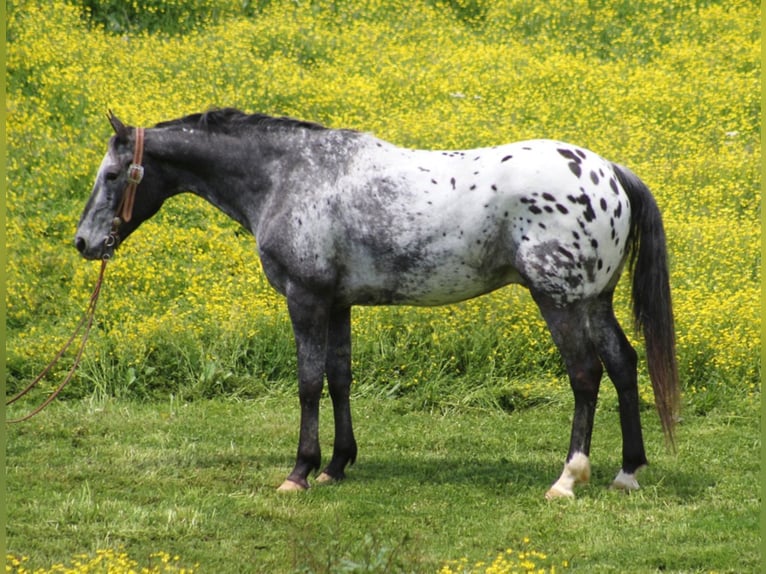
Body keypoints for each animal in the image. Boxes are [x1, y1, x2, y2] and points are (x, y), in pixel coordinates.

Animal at [75, 109, 680, 500]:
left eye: (112, 174)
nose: (83, 242)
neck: (289, 176)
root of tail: (609, 172)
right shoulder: (337, 304)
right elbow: (340, 378)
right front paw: (336, 465)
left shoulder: (306, 300)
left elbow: (308, 383)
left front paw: (299, 472)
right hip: (593, 300)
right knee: (623, 365)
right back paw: (627, 472)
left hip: (558, 301)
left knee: (586, 375)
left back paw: (567, 480)